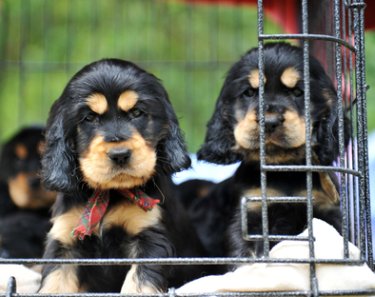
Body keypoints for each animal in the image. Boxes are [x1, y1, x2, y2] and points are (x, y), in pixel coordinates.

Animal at [40, 57, 210, 292]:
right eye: (89, 118)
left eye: (137, 113)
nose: (119, 155)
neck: (110, 194)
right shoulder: (65, 240)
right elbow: (54, 282)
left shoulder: (150, 237)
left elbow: (138, 281)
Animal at [197, 41, 346, 260]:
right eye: (249, 93)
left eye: (298, 92)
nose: (270, 121)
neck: (282, 170)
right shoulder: (248, 213)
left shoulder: (326, 210)